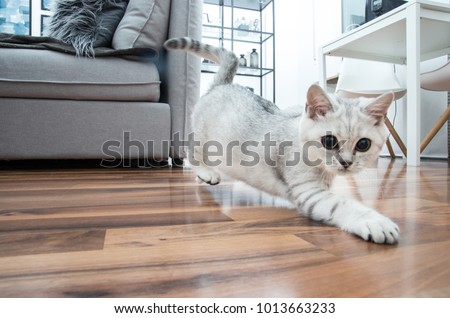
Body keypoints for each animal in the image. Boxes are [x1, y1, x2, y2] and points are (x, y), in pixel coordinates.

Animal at [165, 38, 400, 246]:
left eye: (363, 145)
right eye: (329, 141)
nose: (346, 162)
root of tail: (223, 85)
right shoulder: (309, 191)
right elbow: (343, 205)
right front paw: (375, 221)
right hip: (204, 140)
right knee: (191, 153)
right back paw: (205, 172)